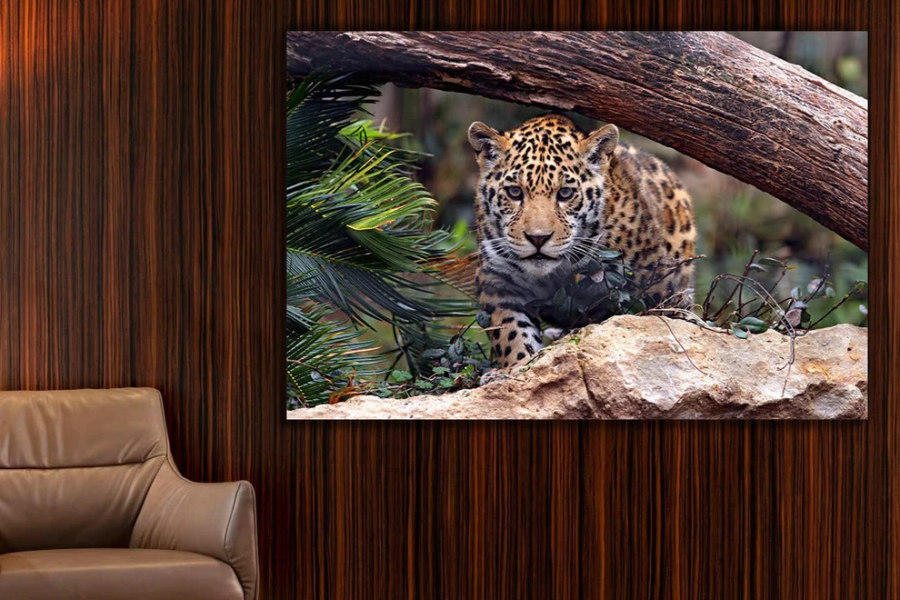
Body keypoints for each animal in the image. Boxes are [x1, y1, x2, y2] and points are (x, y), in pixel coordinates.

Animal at [467, 113, 697, 369]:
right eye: (514, 192)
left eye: (565, 193)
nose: (538, 238)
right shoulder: (497, 280)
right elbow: (510, 332)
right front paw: (519, 365)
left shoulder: (649, 282)